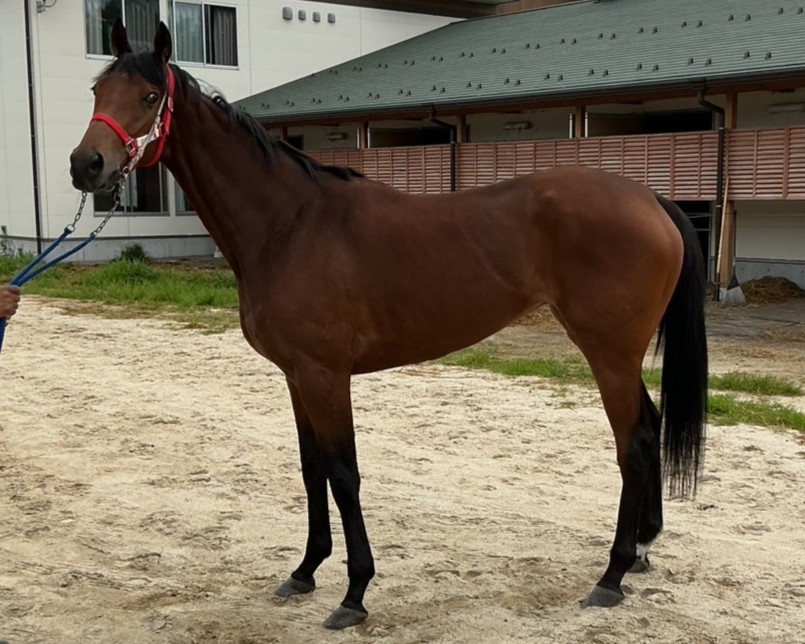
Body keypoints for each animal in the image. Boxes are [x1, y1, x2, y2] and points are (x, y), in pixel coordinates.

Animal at [69, 22, 707, 630]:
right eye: (97, 91)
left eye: (150, 96)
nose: (85, 165)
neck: (291, 224)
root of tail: (650, 198)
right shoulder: (296, 376)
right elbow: (311, 470)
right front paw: (305, 571)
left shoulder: (326, 376)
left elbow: (343, 474)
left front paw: (354, 594)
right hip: (618, 355)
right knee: (650, 425)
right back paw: (643, 549)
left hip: (608, 353)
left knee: (635, 442)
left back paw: (612, 575)